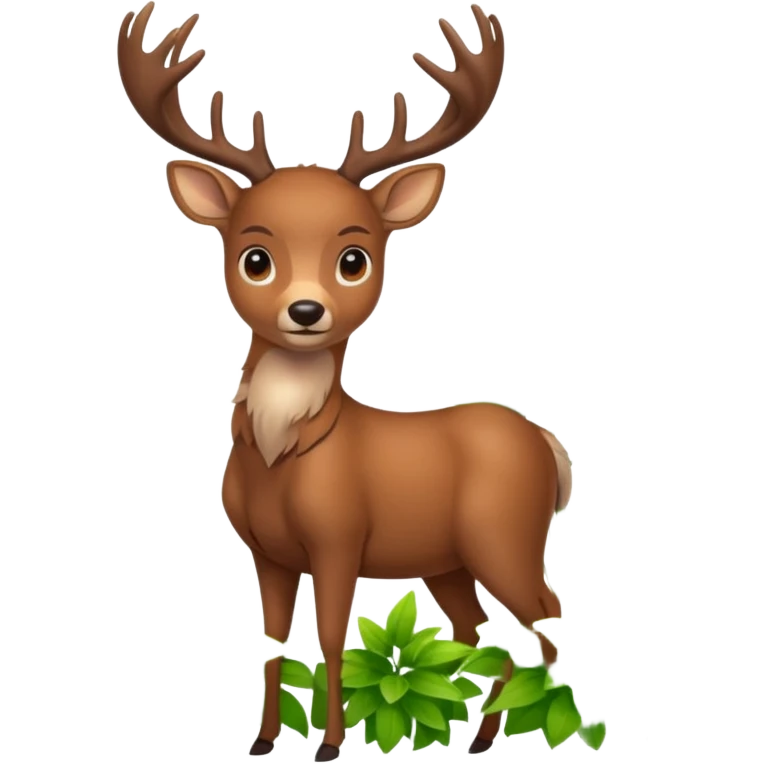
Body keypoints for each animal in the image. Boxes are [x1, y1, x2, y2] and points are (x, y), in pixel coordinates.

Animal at [117, 3, 571, 760]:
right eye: (256, 257)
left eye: (354, 258)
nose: (306, 310)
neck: (284, 454)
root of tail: (546, 442)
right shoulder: (266, 553)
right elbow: (273, 641)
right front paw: (264, 740)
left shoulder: (339, 539)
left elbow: (332, 636)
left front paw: (328, 744)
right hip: (447, 560)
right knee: (478, 632)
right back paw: (473, 734)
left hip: (503, 536)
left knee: (544, 613)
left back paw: (548, 726)